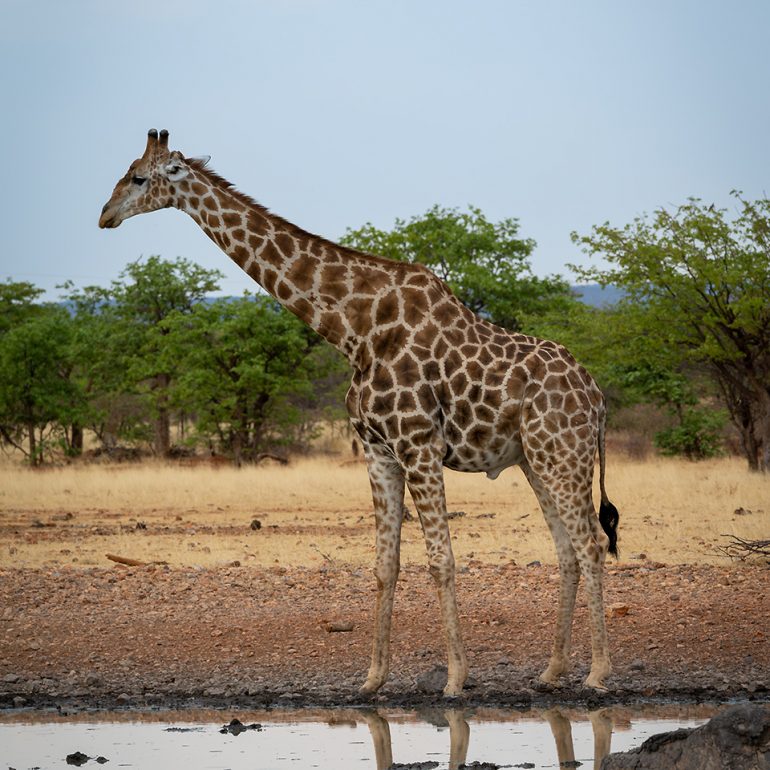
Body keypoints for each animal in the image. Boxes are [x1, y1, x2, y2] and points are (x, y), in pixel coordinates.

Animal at [99, 129, 620, 695]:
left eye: (139, 178)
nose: (104, 215)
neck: (355, 330)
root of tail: (597, 398)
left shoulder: (419, 446)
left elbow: (441, 560)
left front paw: (455, 678)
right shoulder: (377, 450)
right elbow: (384, 564)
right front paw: (372, 678)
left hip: (562, 456)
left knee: (591, 544)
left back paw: (597, 672)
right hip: (535, 460)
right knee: (567, 550)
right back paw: (553, 669)